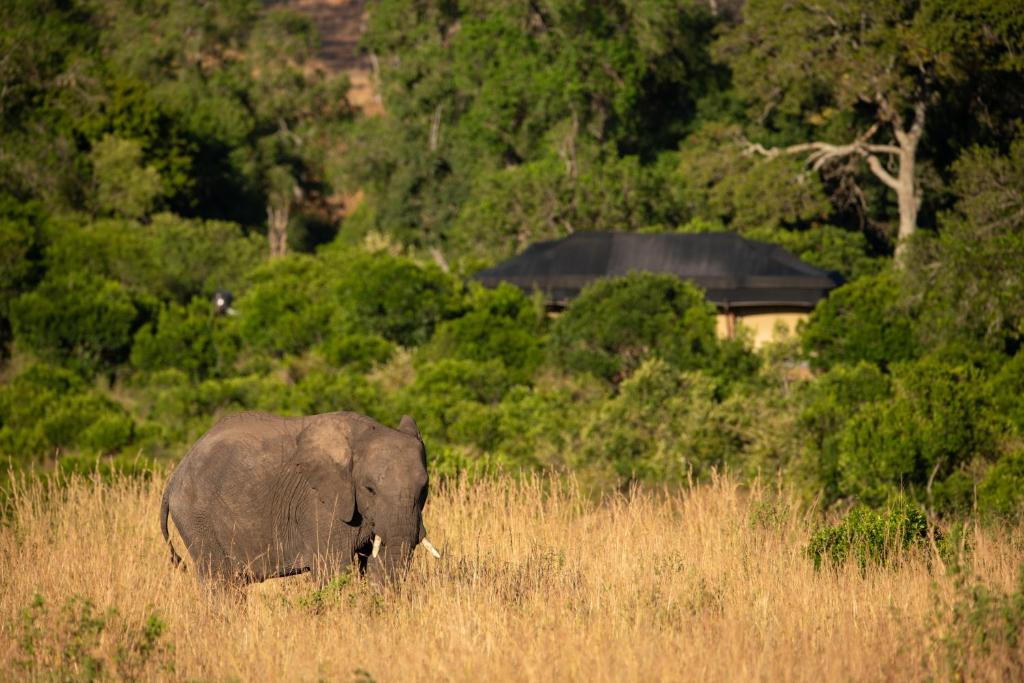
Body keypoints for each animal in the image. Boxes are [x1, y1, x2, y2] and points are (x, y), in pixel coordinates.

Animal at [159, 410, 440, 586]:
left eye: (424, 489)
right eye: (369, 488)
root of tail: (175, 475)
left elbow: (376, 562)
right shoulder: (320, 503)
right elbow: (333, 567)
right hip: (197, 518)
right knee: (219, 581)